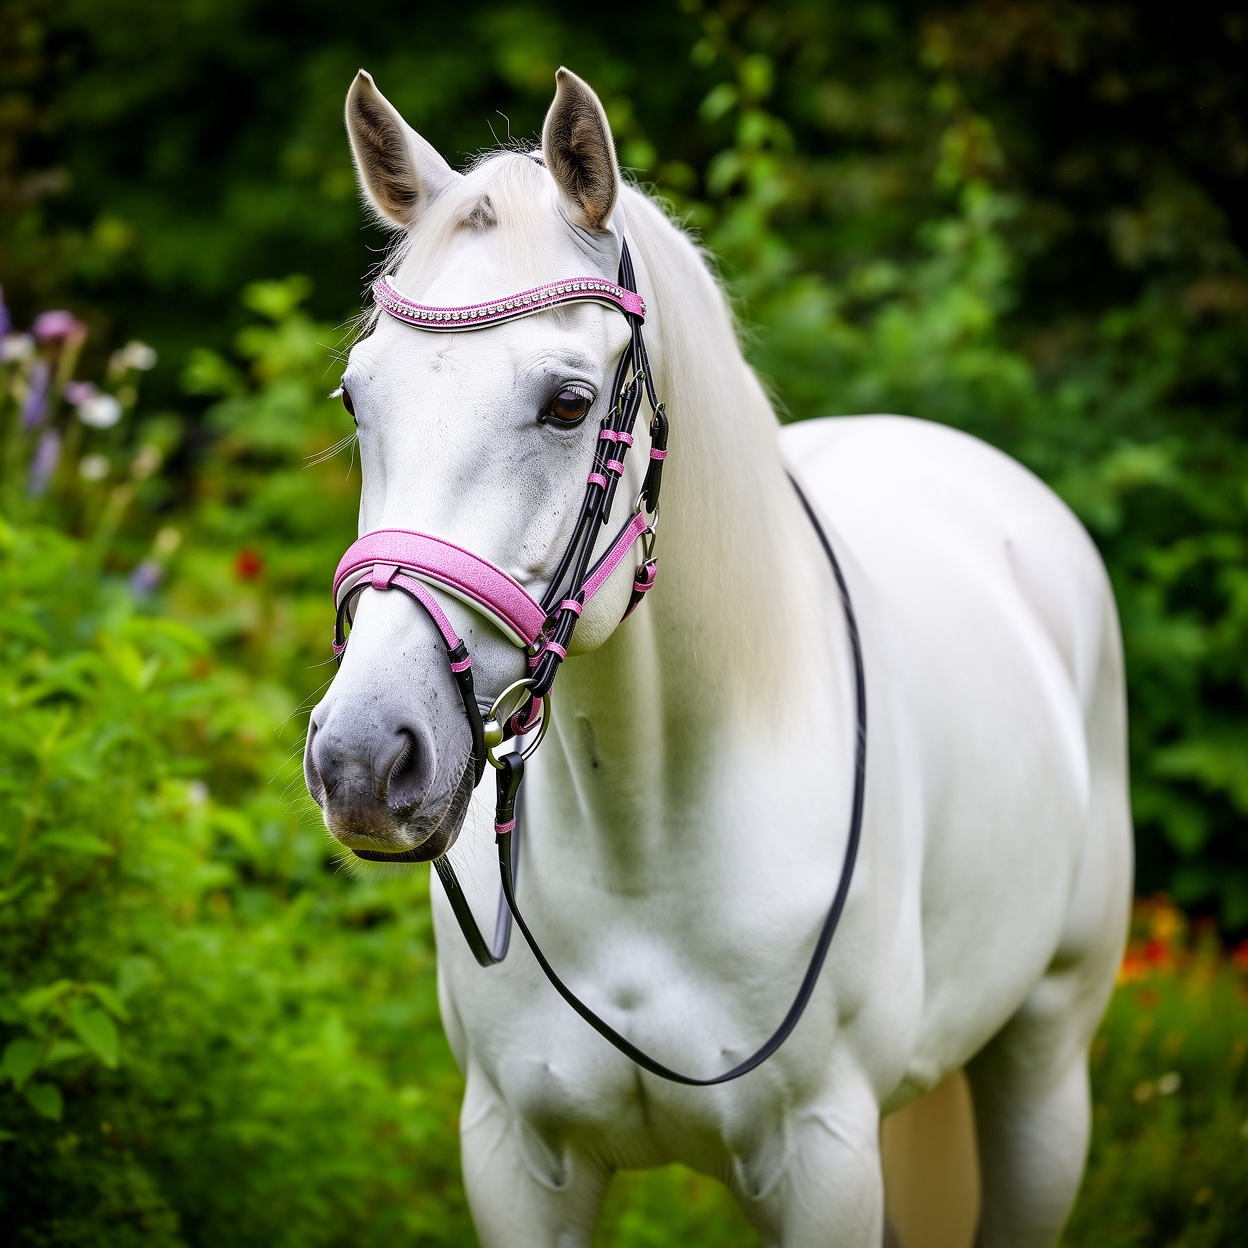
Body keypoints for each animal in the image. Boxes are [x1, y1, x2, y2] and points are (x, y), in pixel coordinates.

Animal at [303, 66, 1133, 1248]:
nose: (365, 761)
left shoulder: (824, 1157)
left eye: (568, 404)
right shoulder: (514, 1154)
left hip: (1046, 1062)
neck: (644, 844)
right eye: (357, 397)